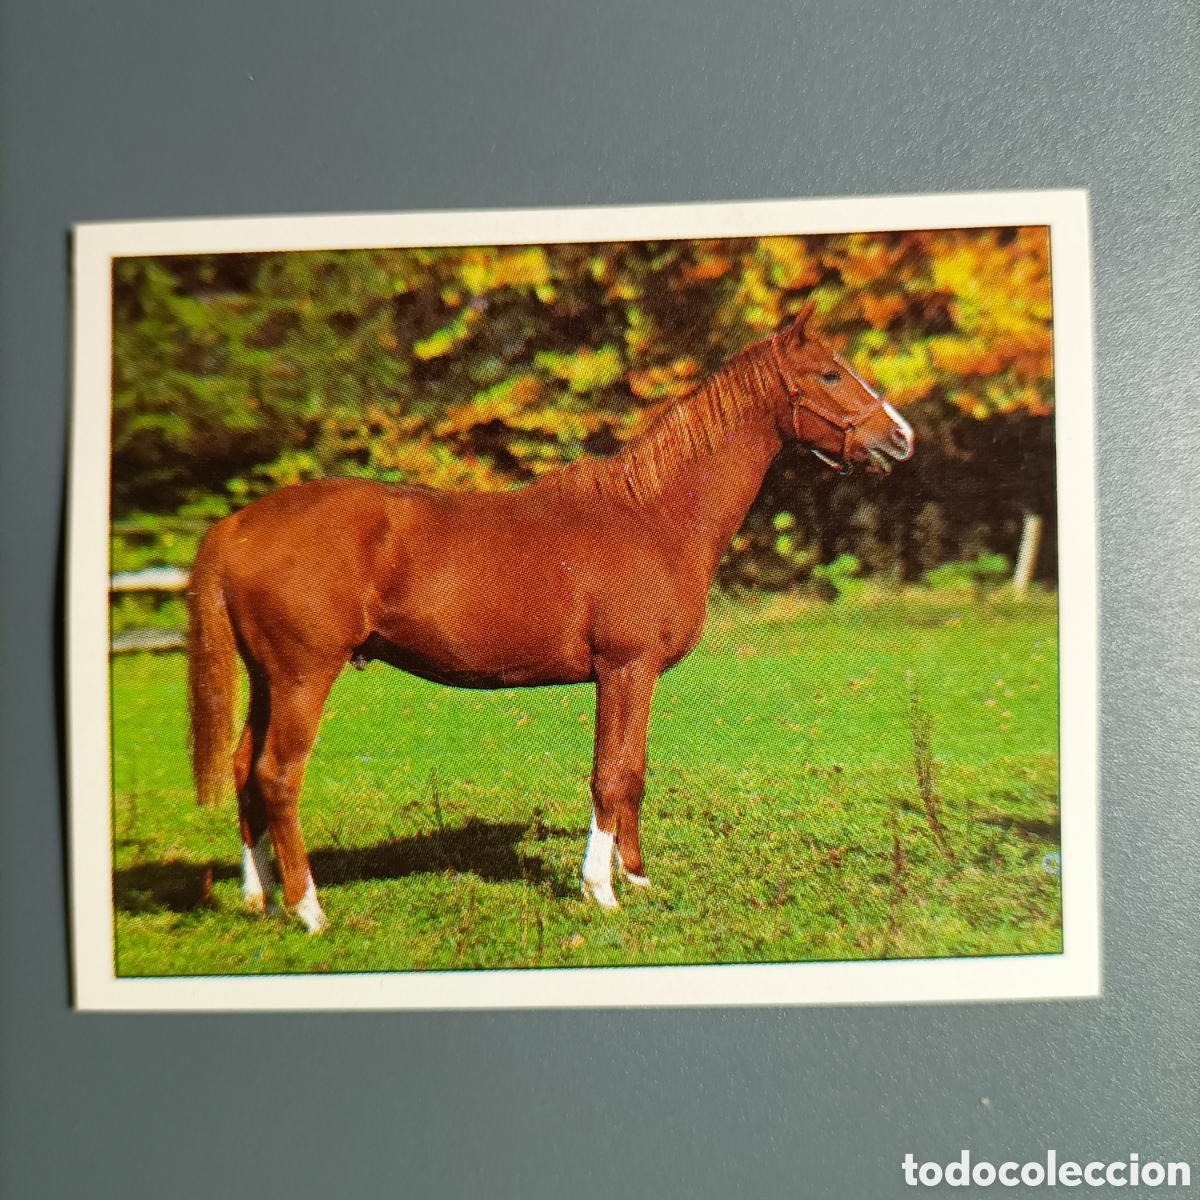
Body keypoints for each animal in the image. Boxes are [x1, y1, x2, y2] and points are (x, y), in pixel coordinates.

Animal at [186, 302, 914, 932]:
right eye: (830, 373)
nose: (902, 438)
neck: (654, 516)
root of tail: (239, 526)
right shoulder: (625, 668)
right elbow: (612, 773)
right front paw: (600, 890)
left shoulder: (634, 676)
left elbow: (633, 771)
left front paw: (637, 878)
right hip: (304, 675)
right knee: (277, 775)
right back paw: (309, 909)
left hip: (268, 678)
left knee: (244, 767)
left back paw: (260, 896)